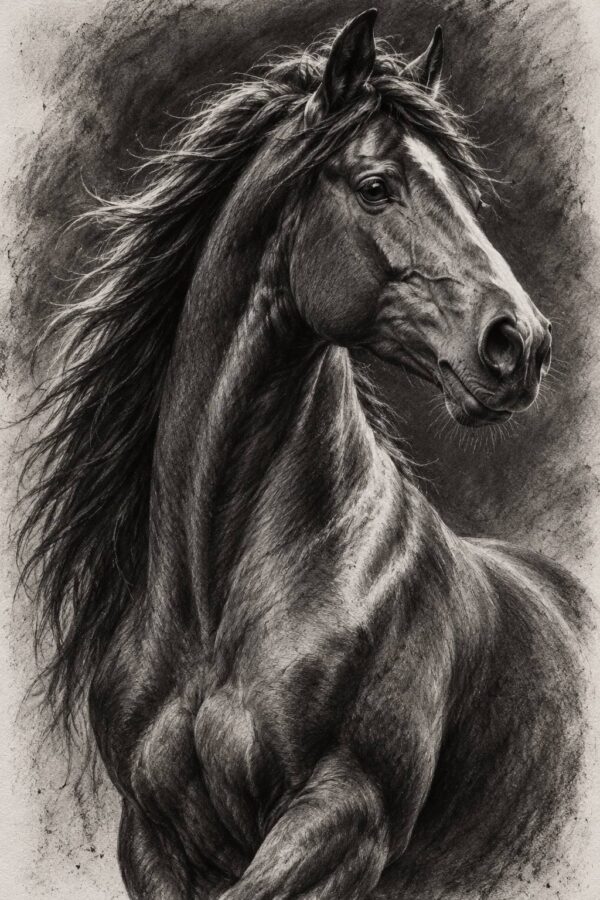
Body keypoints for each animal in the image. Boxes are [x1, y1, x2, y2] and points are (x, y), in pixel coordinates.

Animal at [20, 9, 590, 899]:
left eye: (463, 196)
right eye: (376, 186)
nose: (520, 344)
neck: (217, 605)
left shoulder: (345, 821)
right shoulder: (151, 839)